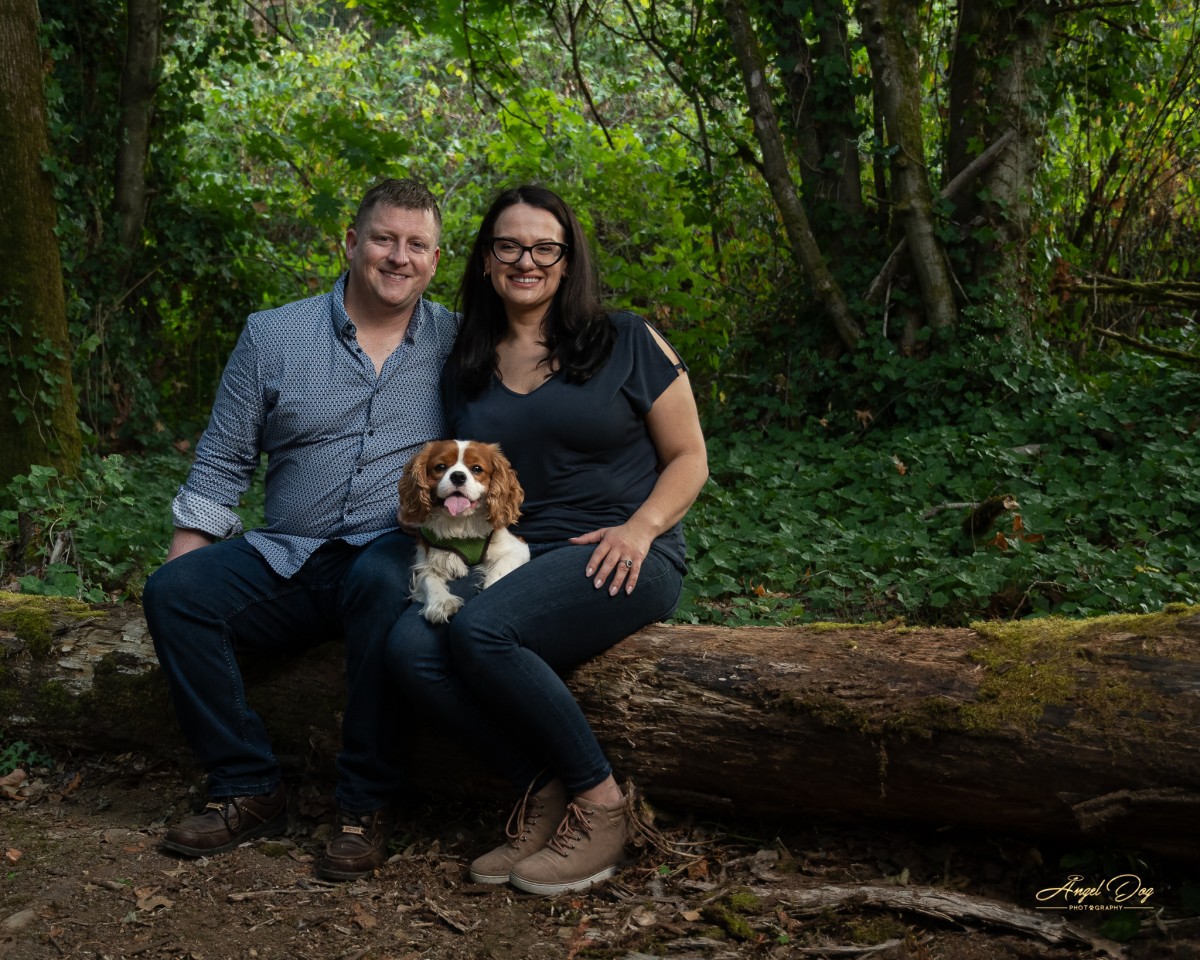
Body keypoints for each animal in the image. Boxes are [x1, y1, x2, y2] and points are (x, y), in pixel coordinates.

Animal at [398, 439, 530, 624]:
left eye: (477, 469)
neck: (460, 522)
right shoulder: (424, 561)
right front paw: (442, 602)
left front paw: (490, 589)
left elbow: (500, 569)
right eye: (440, 467)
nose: (458, 476)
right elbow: (429, 578)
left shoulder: (518, 549)